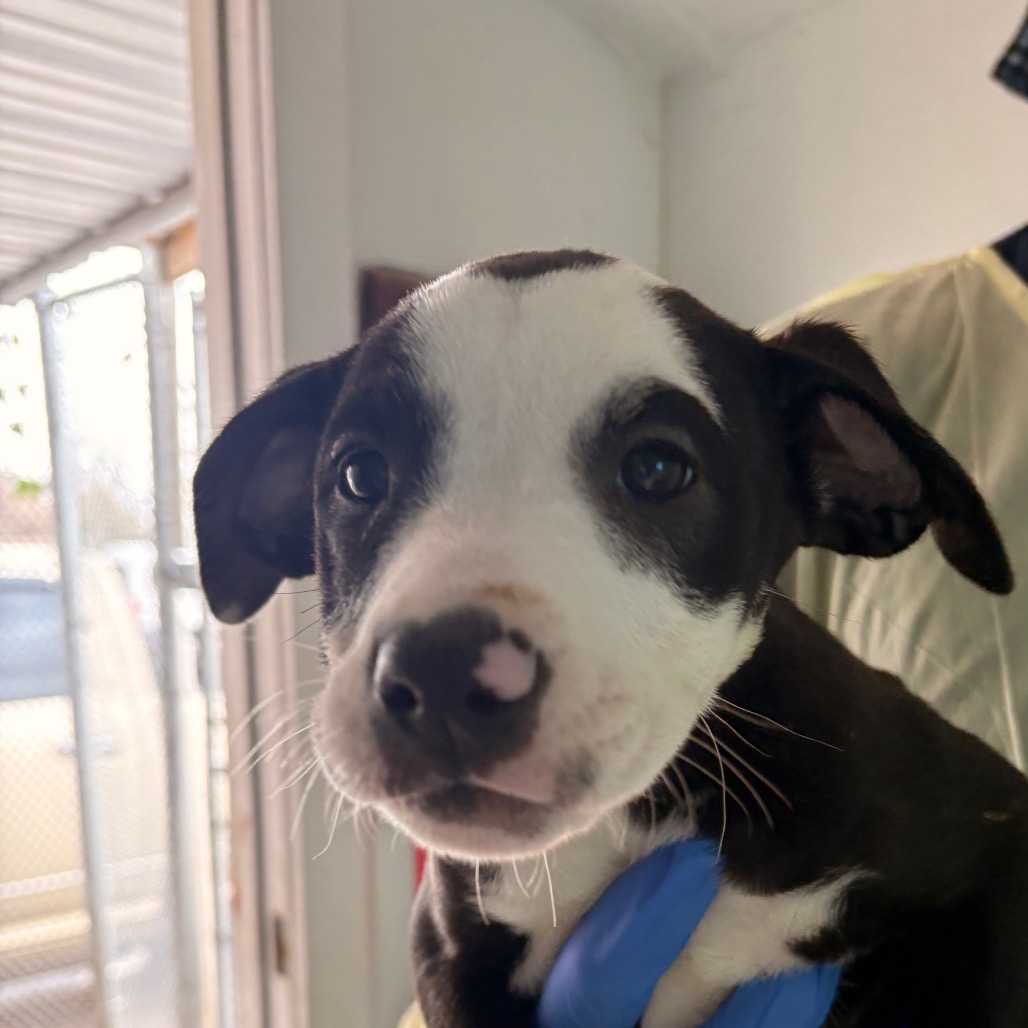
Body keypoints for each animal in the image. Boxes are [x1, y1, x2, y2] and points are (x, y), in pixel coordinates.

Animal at [194, 250, 1028, 1027]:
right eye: (359, 475)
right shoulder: (449, 943)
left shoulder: (991, 851)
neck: (636, 822)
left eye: (658, 468)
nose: (441, 674)